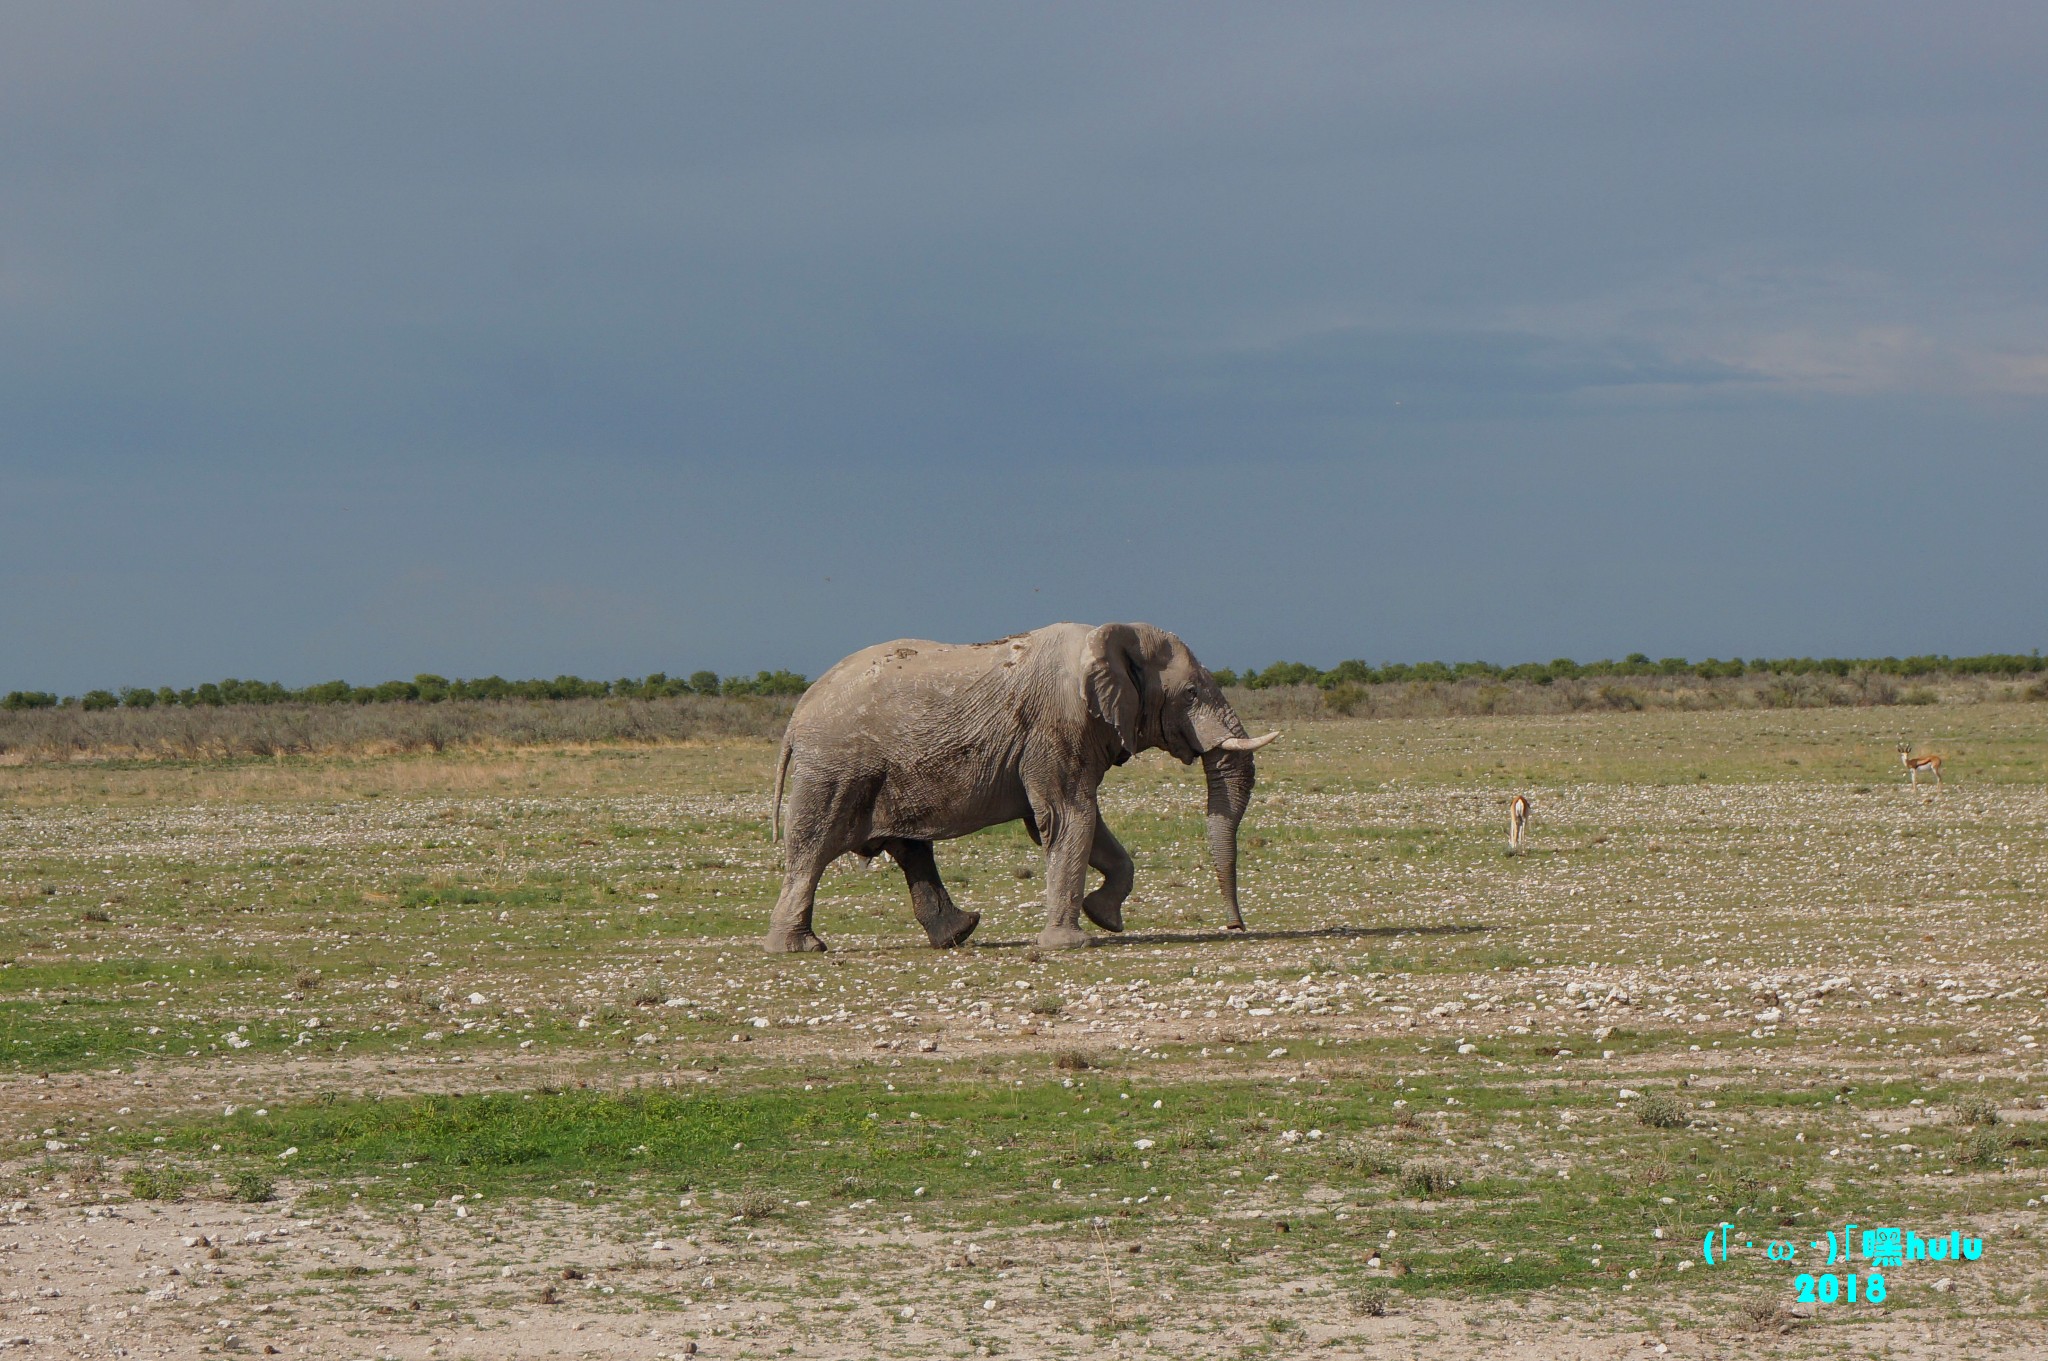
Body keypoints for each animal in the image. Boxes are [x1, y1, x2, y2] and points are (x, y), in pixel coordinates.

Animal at [770, 622, 1277, 949]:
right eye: (1190, 694)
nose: (1236, 928)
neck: (1108, 636)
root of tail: (796, 715)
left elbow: (1074, 824)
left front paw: (1105, 918)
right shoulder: (1056, 726)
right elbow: (1071, 817)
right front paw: (1068, 944)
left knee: (910, 848)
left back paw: (959, 934)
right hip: (837, 768)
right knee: (812, 849)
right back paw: (800, 948)